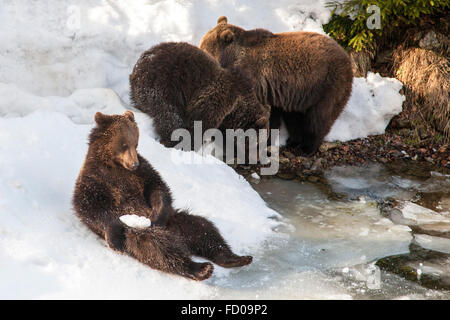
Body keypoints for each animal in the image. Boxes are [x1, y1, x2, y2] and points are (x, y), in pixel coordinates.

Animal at [72, 111, 251, 282]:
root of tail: (177, 234)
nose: (134, 164)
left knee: (204, 229)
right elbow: (93, 209)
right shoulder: (95, 180)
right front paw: (113, 238)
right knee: (158, 246)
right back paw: (200, 268)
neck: (114, 165)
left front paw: (156, 214)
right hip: (137, 231)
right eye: (123, 144)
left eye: (135, 143)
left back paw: (235, 258)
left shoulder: (142, 173)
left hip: (175, 220)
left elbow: (158, 188)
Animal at [128, 41, 268, 152]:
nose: (257, 158)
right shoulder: (217, 98)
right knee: (170, 115)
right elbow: (198, 123)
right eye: (257, 144)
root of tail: (138, 66)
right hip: (163, 84)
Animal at [199, 16, 354, 156]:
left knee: (319, 118)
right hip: (299, 93)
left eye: (204, 48)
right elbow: (272, 116)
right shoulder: (272, 91)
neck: (232, 59)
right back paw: (293, 141)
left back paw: (306, 149)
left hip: (328, 85)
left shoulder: (253, 80)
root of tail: (347, 58)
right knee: (295, 116)